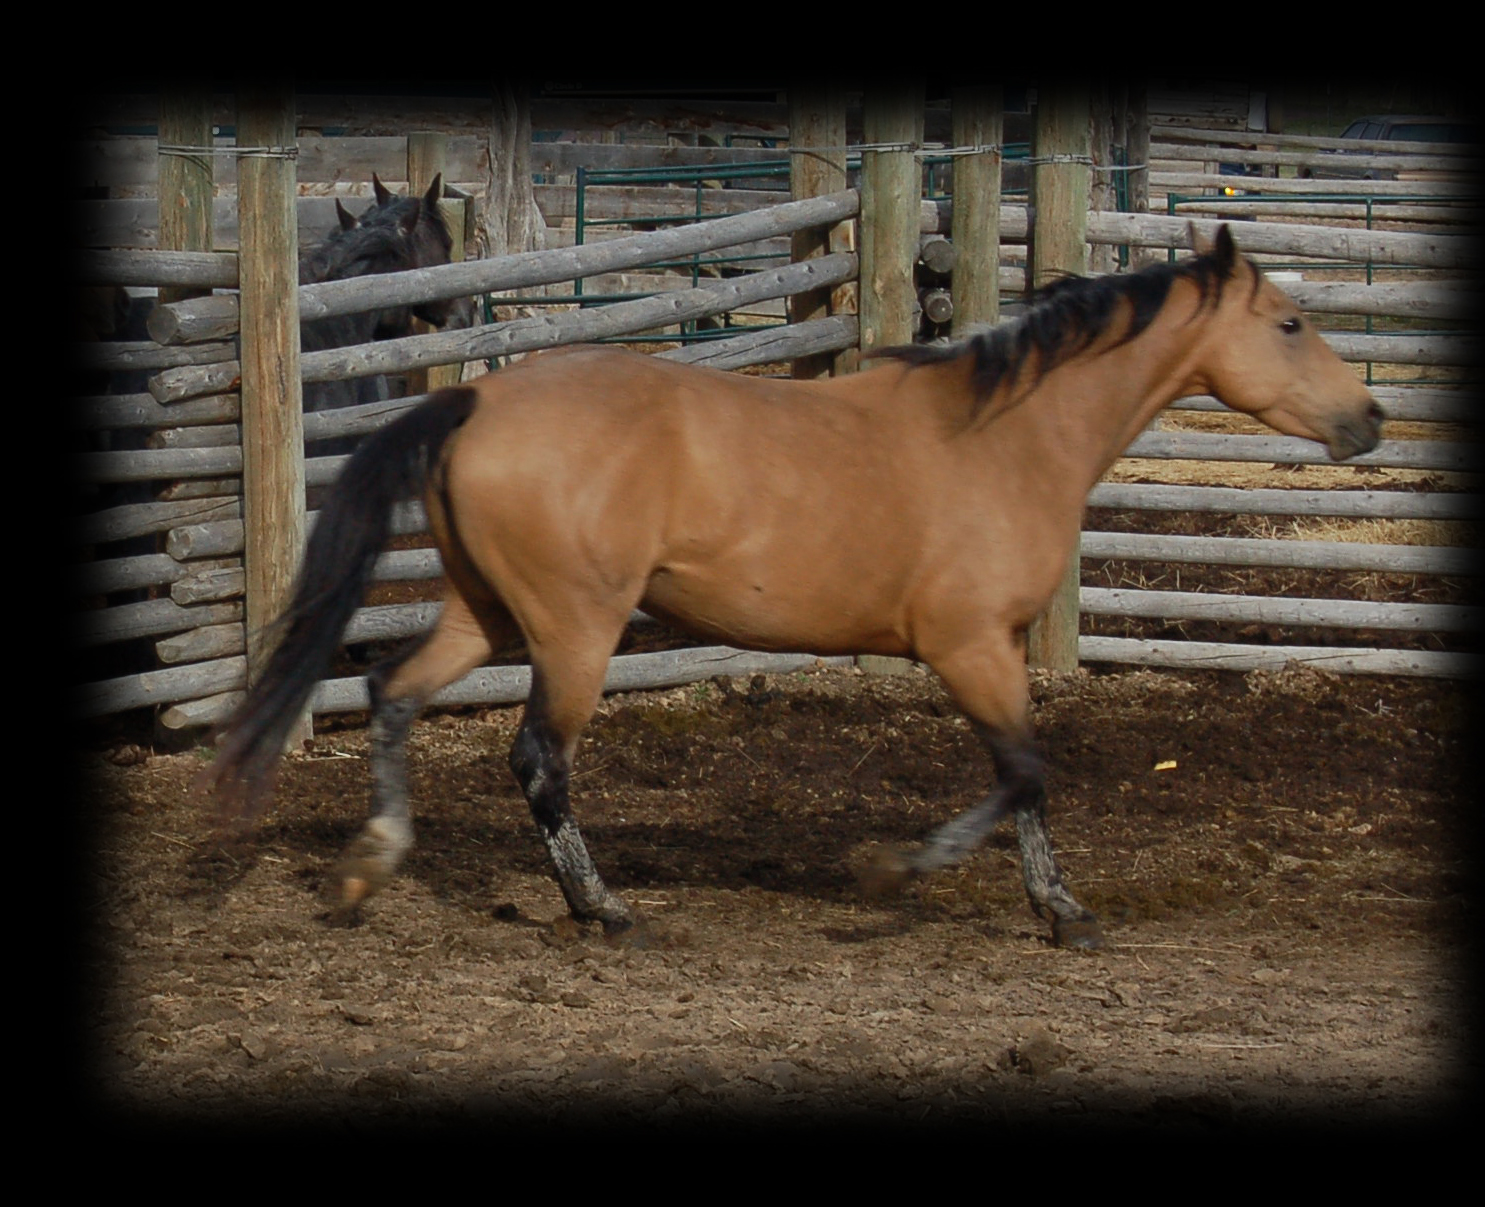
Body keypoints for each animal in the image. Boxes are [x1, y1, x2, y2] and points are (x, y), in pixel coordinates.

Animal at [202, 225, 1383, 950]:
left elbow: (1031, 783)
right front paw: (899, 871)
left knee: (393, 695)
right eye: (1289, 323)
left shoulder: (990, 648)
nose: (1368, 419)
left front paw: (1061, 910)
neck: (1008, 439)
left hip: (487, 614)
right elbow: (1022, 772)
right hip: (576, 628)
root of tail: (478, 402)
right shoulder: (967, 645)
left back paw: (369, 867)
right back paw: (605, 909)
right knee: (537, 758)